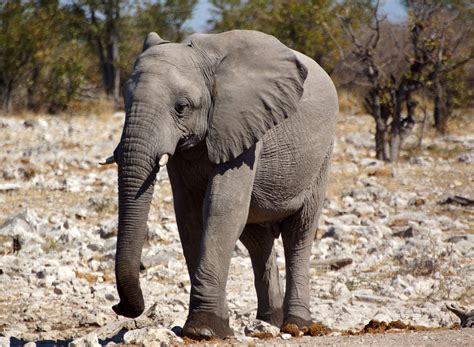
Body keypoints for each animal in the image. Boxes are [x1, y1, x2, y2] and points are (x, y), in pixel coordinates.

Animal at [103, 29, 338, 340]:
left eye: (181, 107)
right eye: (126, 103)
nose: (118, 307)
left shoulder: (242, 126)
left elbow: (220, 210)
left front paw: (203, 330)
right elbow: (190, 217)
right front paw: (217, 327)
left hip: (321, 157)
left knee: (299, 233)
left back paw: (297, 325)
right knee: (258, 240)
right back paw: (269, 321)